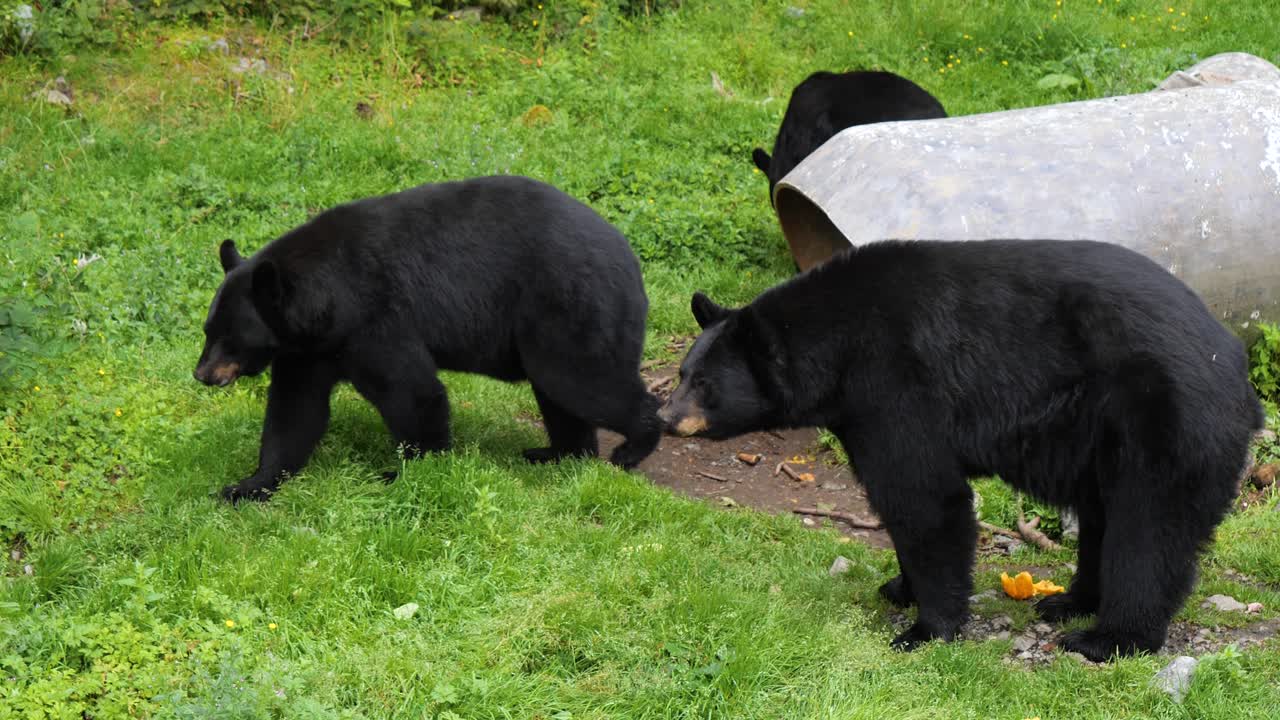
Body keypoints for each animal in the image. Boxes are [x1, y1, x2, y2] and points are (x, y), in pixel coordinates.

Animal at [194, 175, 663, 503]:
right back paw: (558, 454)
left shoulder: (375, 323)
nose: (201, 374)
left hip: (570, 307)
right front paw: (247, 485)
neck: (326, 302)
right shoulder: (308, 349)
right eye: (208, 331)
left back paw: (631, 447)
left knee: (583, 381)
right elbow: (294, 412)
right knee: (561, 395)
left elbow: (412, 394)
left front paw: (407, 473)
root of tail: (630, 259)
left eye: (231, 338)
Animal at [658, 238, 1262, 662]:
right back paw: (1068, 600)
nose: (665, 417)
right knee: (1102, 517)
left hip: (1164, 420)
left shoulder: (894, 386)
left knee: (1149, 528)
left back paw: (1107, 639)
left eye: (705, 384)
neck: (837, 348)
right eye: (685, 373)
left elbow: (924, 496)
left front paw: (925, 629)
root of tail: (1234, 363)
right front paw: (898, 586)